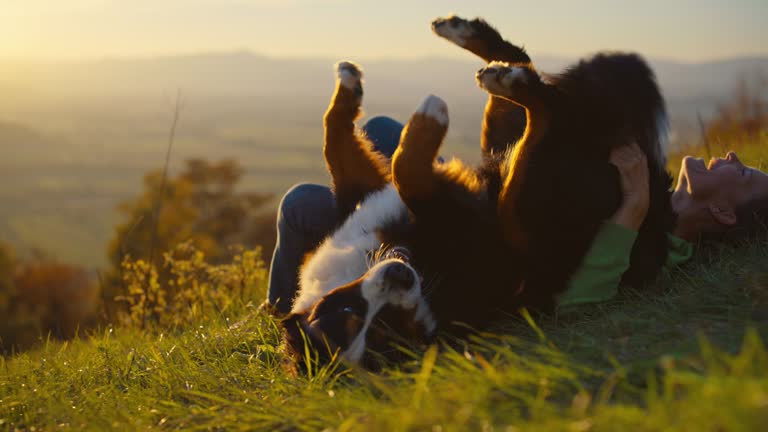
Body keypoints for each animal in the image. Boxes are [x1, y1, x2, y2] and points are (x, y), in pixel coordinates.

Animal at [280, 15, 672, 370]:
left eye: (350, 311)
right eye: (385, 333)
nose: (400, 278)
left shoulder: (361, 194)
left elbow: (337, 140)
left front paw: (349, 85)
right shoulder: (468, 228)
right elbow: (405, 168)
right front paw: (430, 116)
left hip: (501, 142)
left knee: (528, 77)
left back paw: (467, 37)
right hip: (526, 218)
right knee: (549, 111)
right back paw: (505, 78)